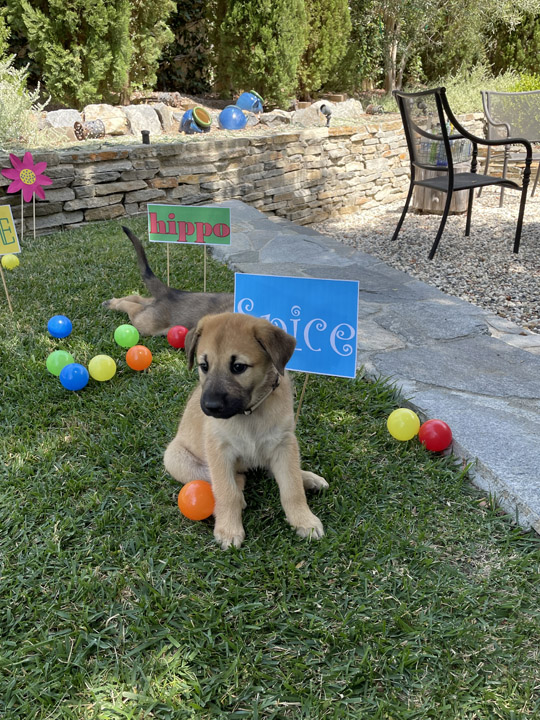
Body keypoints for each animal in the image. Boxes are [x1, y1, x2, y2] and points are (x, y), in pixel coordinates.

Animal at [162, 312, 326, 548]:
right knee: (229, 480)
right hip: (175, 458)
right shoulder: (218, 450)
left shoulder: (284, 444)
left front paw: (304, 520)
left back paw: (309, 479)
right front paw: (229, 529)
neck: (249, 414)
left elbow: (291, 487)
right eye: (204, 365)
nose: (210, 406)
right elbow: (225, 490)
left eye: (238, 367)